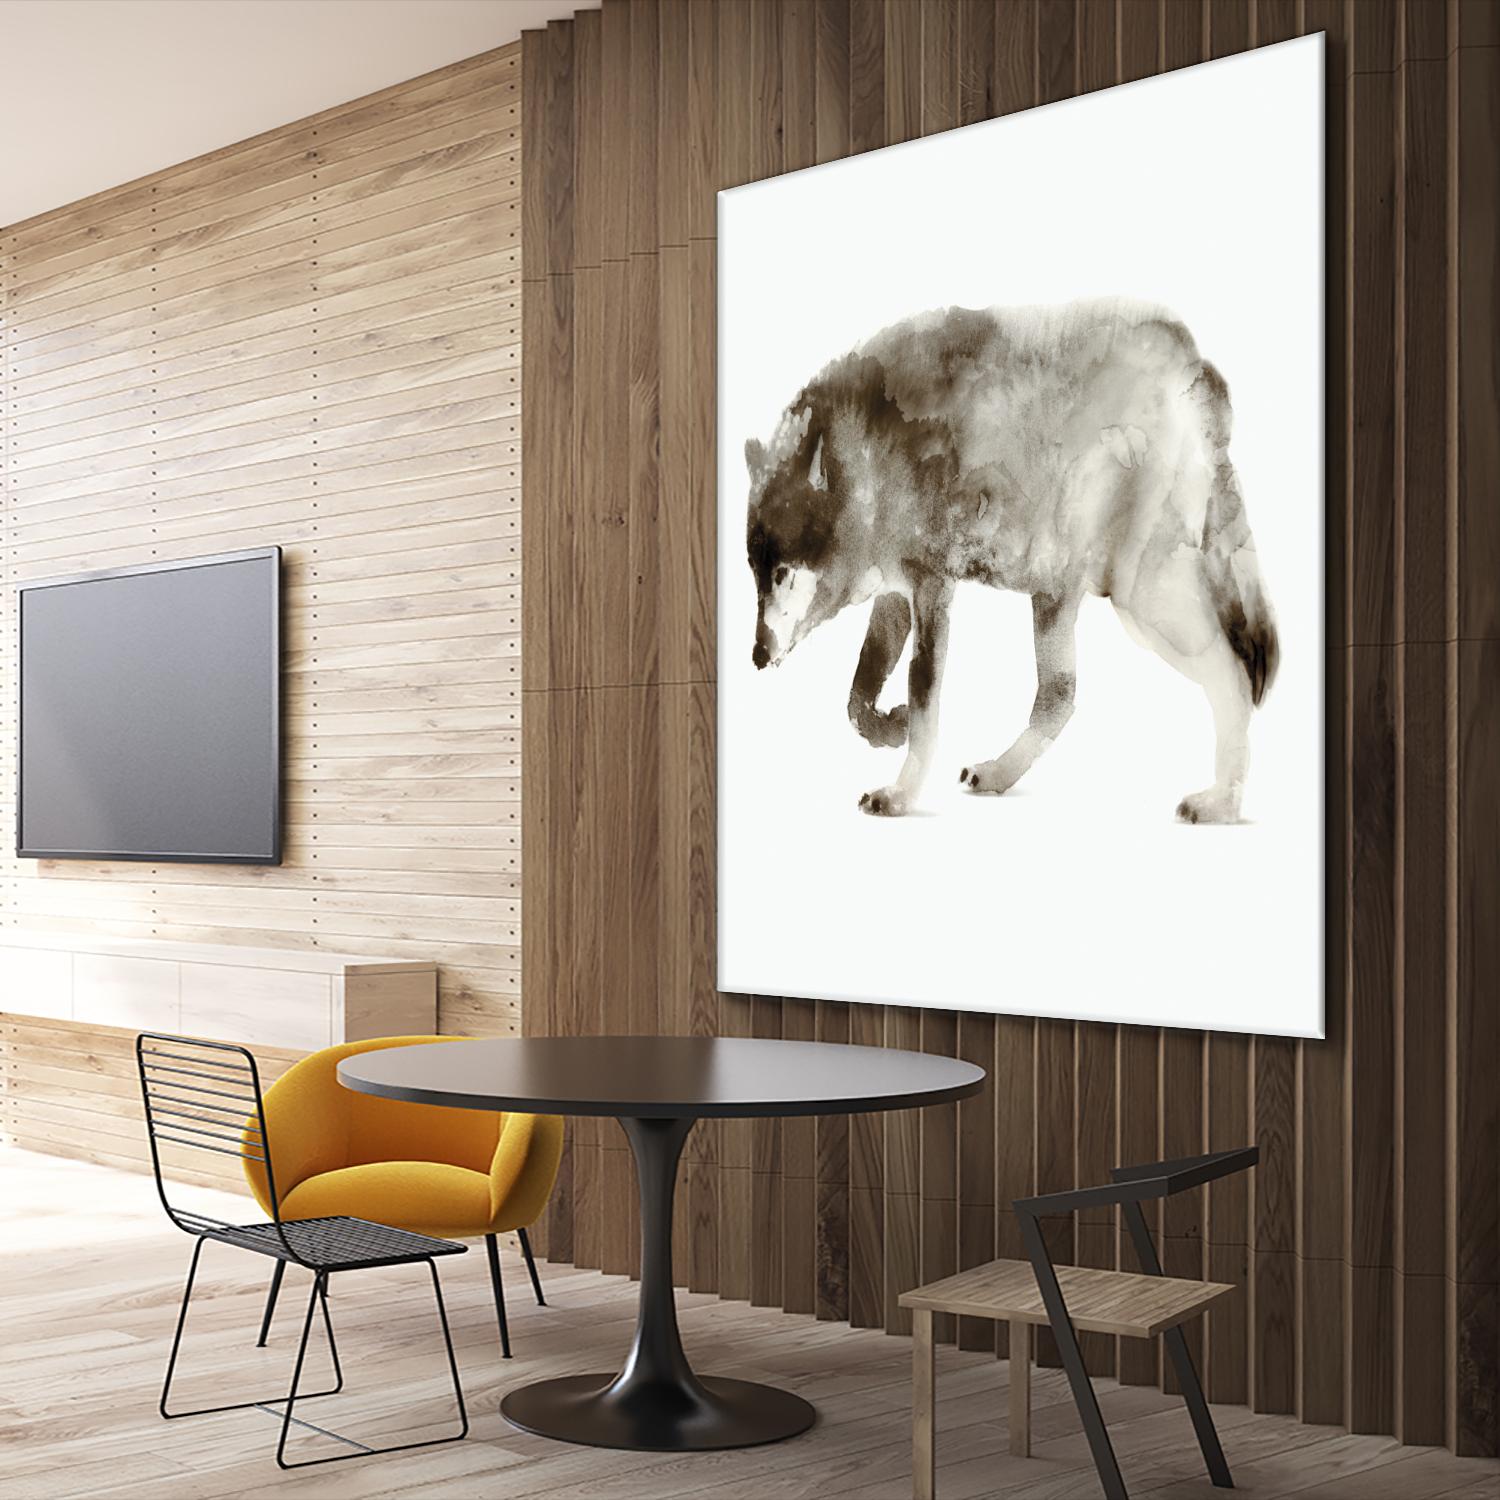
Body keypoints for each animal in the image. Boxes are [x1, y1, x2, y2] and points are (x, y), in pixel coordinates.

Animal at [744, 299, 1279, 821]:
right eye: (755, 574)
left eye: (783, 573)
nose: (756, 656)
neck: (866, 458)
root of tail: (1194, 363)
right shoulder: (897, 591)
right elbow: (858, 695)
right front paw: (890, 726)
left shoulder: (932, 585)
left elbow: (923, 697)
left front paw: (899, 794)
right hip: (1058, 594)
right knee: (1060, 697)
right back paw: (998, 774)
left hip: (1143, 601)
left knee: (1234, 676)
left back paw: (1222, 803)